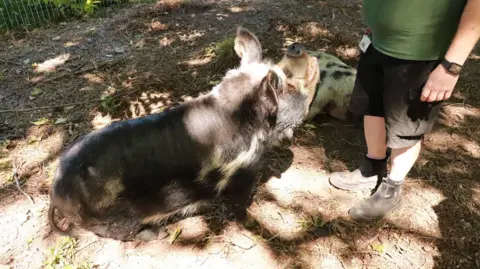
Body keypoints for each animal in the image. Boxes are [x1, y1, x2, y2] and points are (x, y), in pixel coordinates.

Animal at [48, 26, 320, 241]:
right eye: (287, 86)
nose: (298, 47)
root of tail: (55, 189)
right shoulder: (243, 169)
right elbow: (240, 201)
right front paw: (248, 219)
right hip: (109, 220)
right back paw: (160, 234)